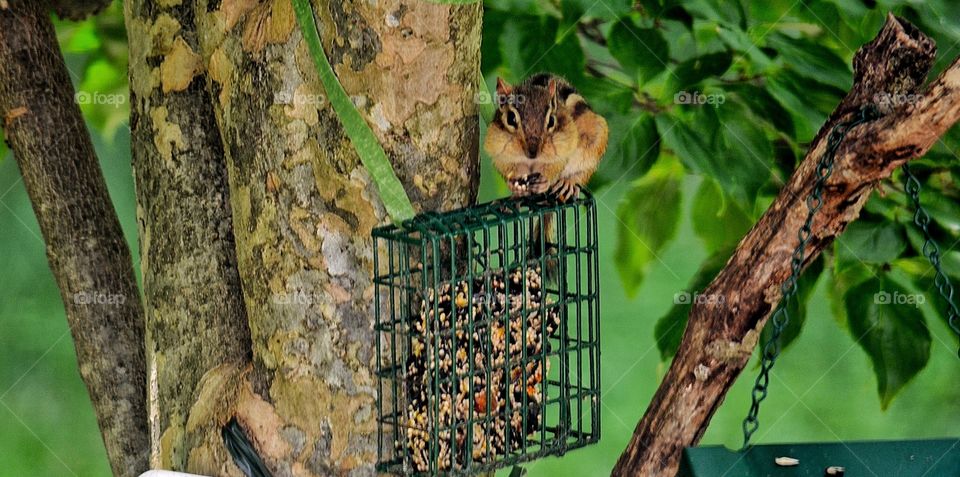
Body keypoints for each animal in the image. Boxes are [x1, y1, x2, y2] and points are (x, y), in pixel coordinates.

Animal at [483, 73, 609, 202]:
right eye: (510, 119)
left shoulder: (564, 145)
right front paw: (514, 184)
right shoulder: (497, 148)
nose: (532, 153)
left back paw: (568, 183)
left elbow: (557, 164)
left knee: (584, 172)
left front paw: (546, 181)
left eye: (552, 121)